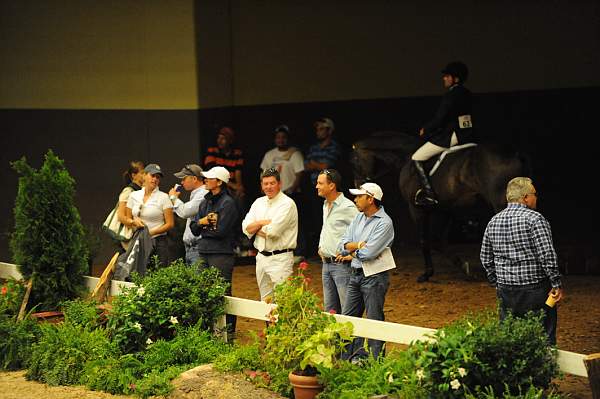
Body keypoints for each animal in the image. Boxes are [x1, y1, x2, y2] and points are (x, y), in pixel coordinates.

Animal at [352, 131, 528, 282]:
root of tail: (513, 152)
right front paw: (464, 267)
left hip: (500, 201)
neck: (406, 156)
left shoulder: (416, 208)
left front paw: (427, 273)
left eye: (354, 161)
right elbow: (439, 241)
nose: (358, 187)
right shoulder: (444, 209)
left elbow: (425, 240)